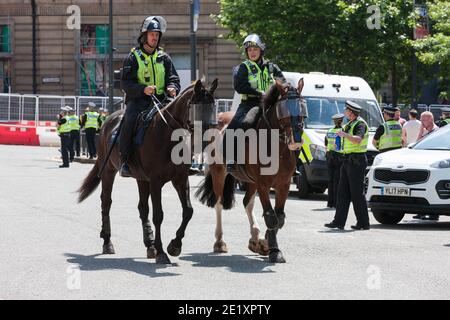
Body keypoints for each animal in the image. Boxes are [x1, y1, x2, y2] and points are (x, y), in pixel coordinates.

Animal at [77, 79, 218, 264]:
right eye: (198, 108)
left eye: (214, 107)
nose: (210, 138)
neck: (168, 135)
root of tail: (109, 119)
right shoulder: (156, 181)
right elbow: (158, 215)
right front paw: (162, 252)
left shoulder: (180, 179)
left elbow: (188, 211)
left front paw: (174, 245)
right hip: (108, 171)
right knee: (106, 202)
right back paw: (108, 242)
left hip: (141, 179)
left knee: (142, 208)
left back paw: (149, 245)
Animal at [195, 79, 304, 262]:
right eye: (285, 110)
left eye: (302, 107)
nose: (296, 141)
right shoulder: (263, 184)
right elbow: (271, 217)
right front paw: (274, 250)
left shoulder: (284, 184)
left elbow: (279, 218)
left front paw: (266, 243)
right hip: (219, 173)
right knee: (219, 204)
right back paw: (220, 242)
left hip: (250, 181)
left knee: (248, 203)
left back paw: (254, 238)